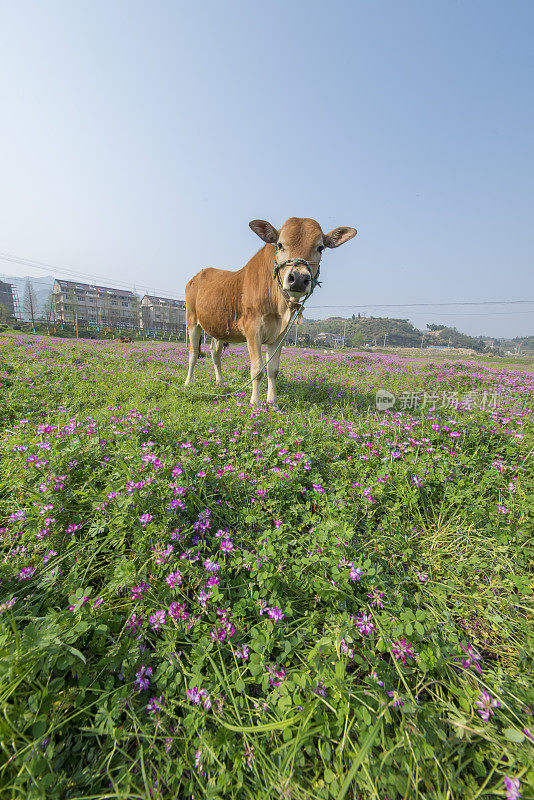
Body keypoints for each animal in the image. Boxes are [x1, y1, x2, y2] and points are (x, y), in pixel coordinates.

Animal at [186, 217, 358, 406]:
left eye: (320, 247)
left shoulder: (280, 333)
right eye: (280, 244)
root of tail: (198, 275)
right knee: (193, 353)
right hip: (192, 321)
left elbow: (273, 369)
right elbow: (257, 369)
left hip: (219, 327)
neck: (279, 308)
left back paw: (220, 382)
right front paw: (255, 403)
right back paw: (188, 382)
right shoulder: (252, 329)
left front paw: (273, 403)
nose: (298, 278)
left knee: (215, 353)